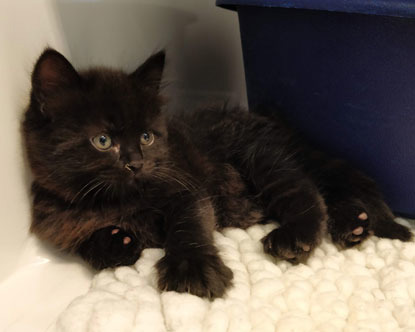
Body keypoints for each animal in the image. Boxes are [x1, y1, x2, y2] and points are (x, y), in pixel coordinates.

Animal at [22, 48, 412, 300]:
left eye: (147, 137)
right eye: (103, 141)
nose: (136, 163)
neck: (115, 202)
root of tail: (273, 123)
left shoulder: (185, 188)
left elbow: (188, 227)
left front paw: (191, 268)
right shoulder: (63, 225)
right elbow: (89, 244)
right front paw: (116, 242)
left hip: (262, 159)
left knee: (307, 191)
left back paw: (298, 234)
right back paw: (354, 223)